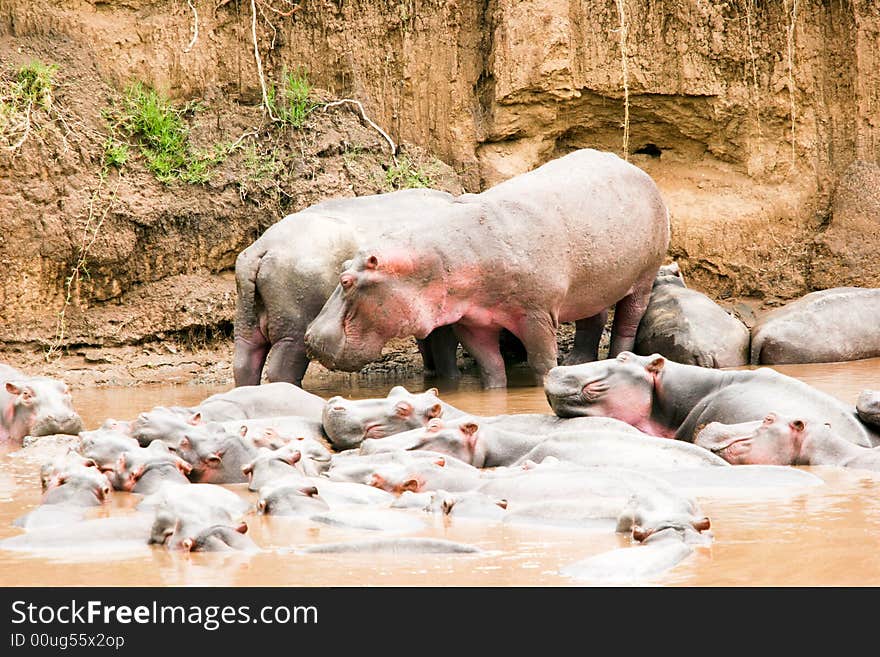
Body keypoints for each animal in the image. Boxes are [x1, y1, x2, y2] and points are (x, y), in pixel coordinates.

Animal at [234, 187, 468, 386]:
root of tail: (262, 247)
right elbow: (444, 349)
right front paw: (453, 379)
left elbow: (428, 347)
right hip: (293, 332)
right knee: (281, 370)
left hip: (248, 325)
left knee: (245, 363)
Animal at [306, 147, 672, 390]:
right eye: (341, 267)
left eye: (346, 280)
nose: (309, 336)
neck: (437, 260)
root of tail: (632, 166)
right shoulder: (472, 321)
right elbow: (490, 366)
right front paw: (493, 394)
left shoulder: (536, 315)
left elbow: (541, 362)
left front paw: (546, 383)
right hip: (592, 283)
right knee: (592, 320)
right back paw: (577, 363)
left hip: (644, 276)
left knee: (627, 321)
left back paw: (618, 356)